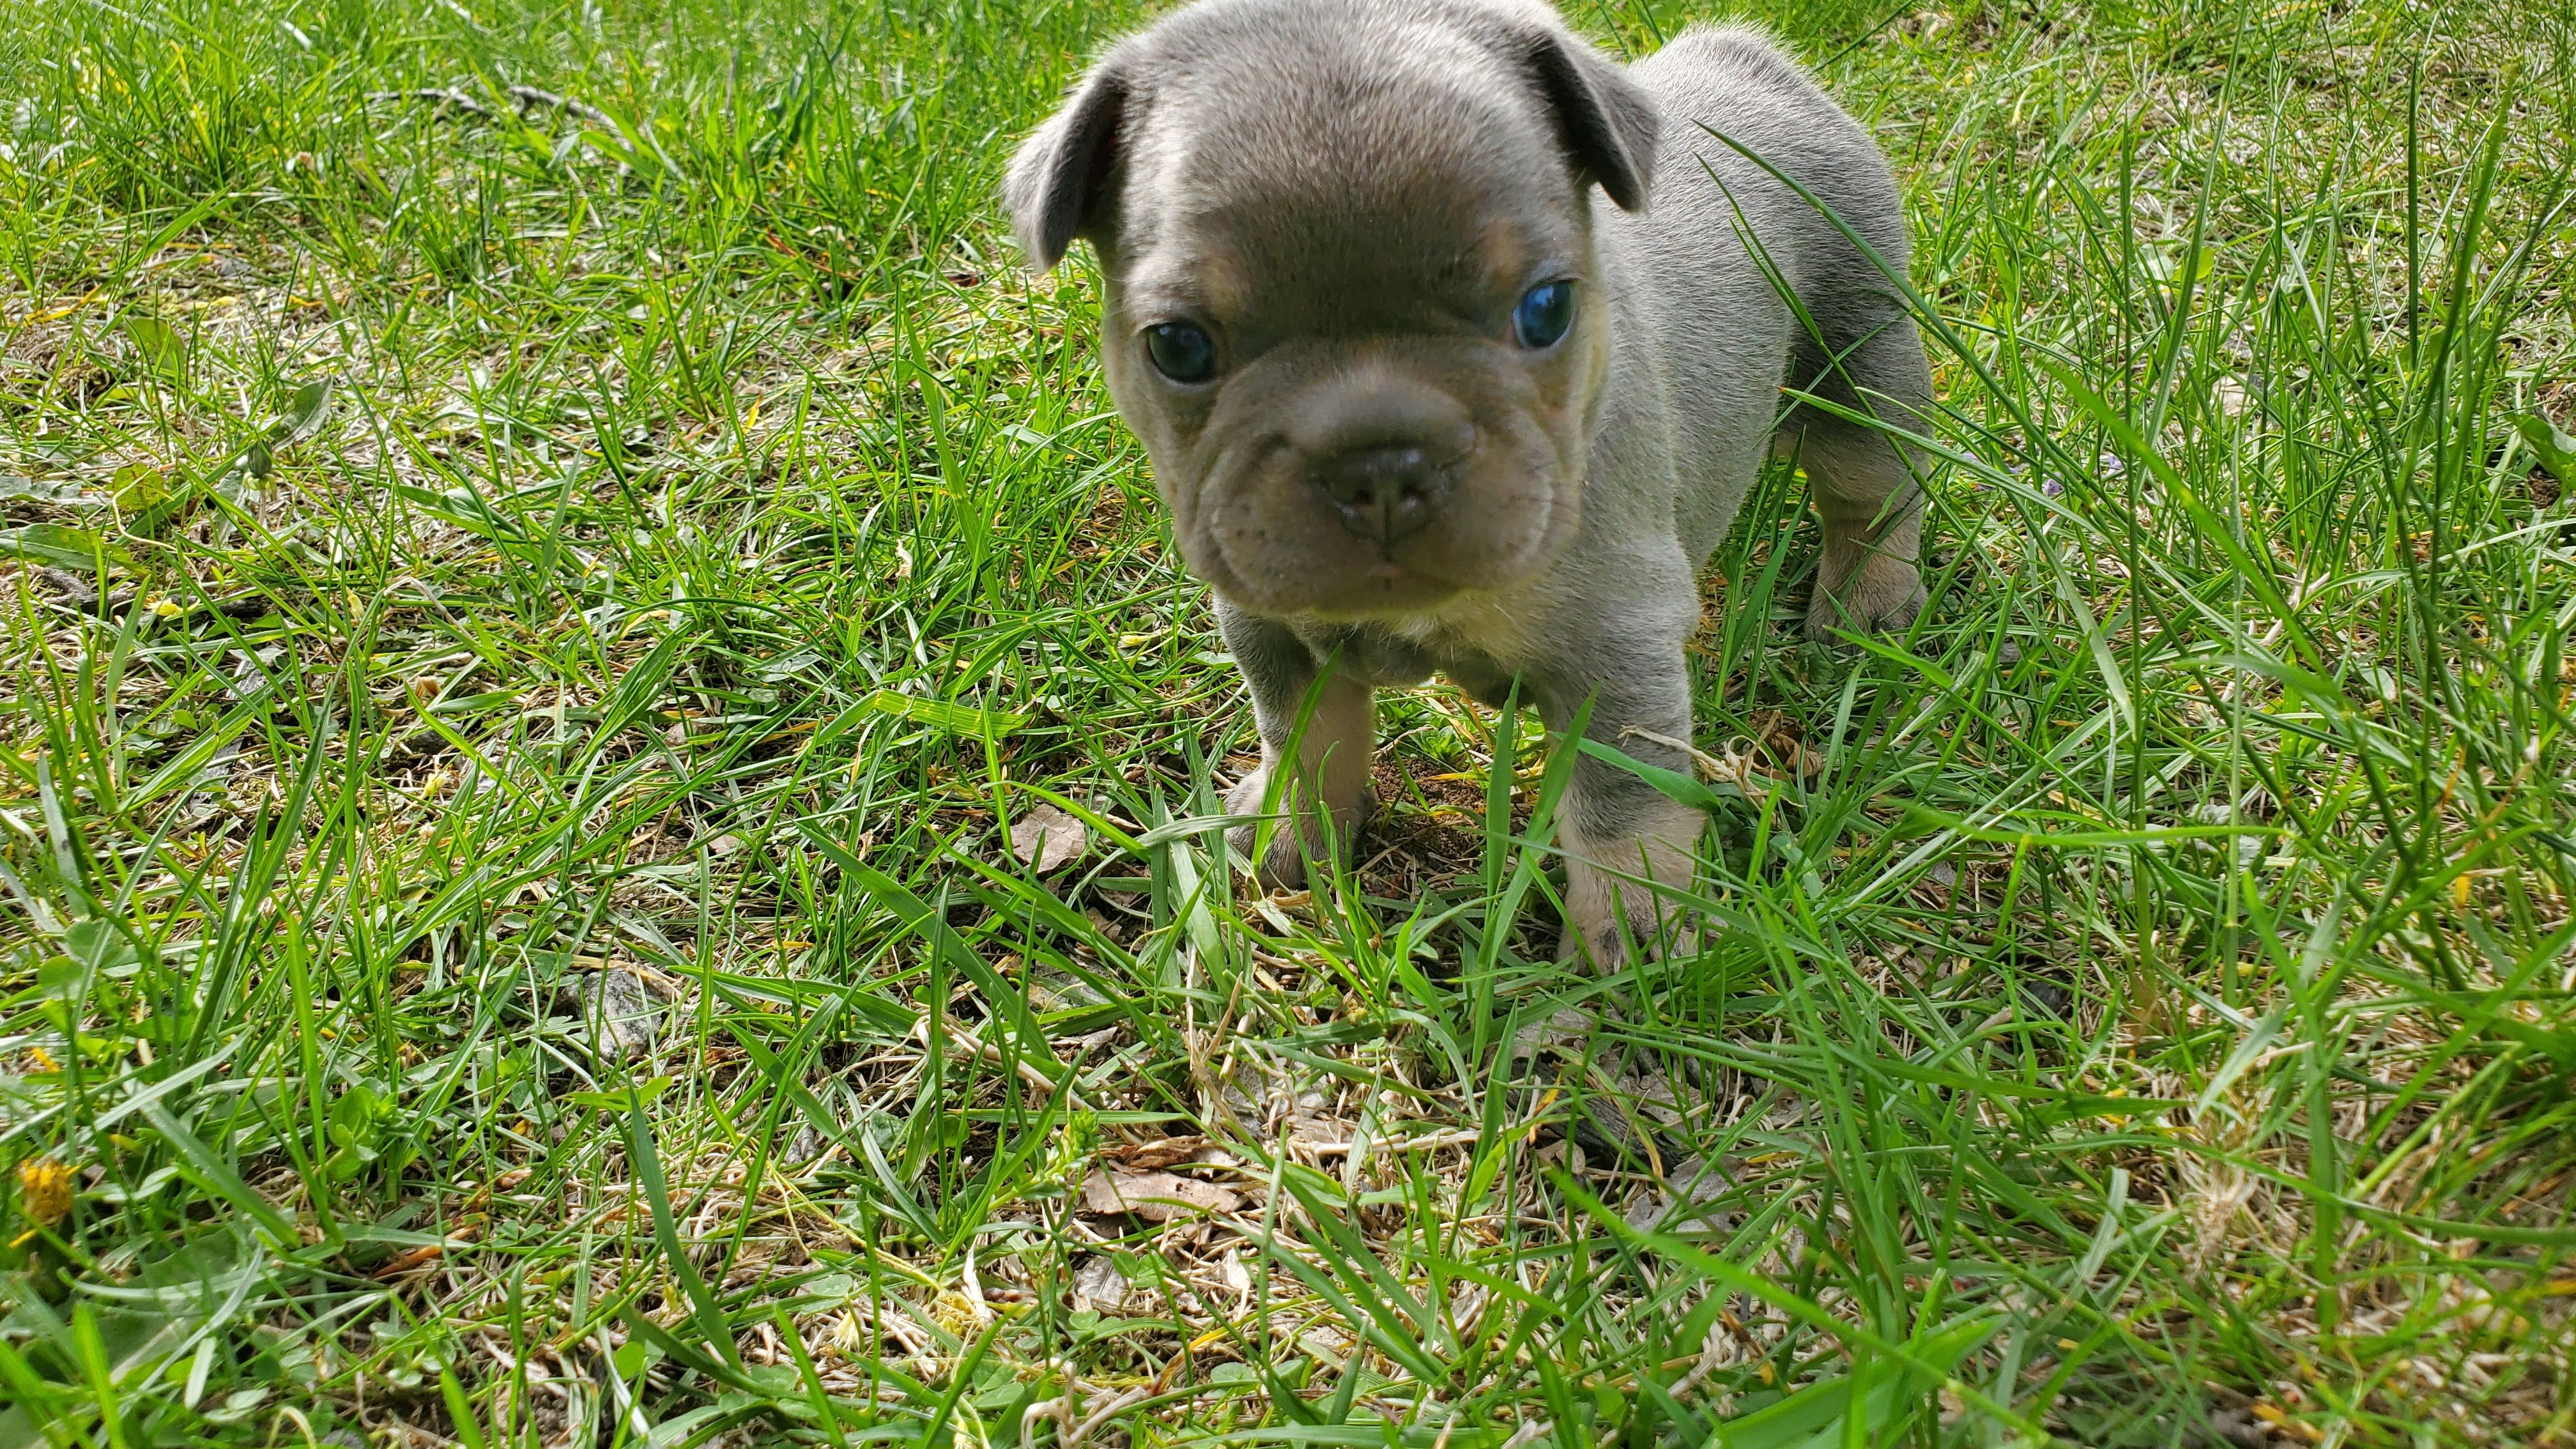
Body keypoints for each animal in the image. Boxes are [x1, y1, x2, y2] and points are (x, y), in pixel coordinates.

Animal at [1004, 0, 1937, 959]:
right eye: (1179, 348)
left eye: (1548, 310)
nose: (1380, 460)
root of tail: (1746, 60)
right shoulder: (1270, 627)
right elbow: (1304, 743)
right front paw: (1293, 835)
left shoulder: (1620, 647)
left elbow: (1622, 808)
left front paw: (1635, 932)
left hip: (1857, 361)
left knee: (1875, 491)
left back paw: (1869, 608)